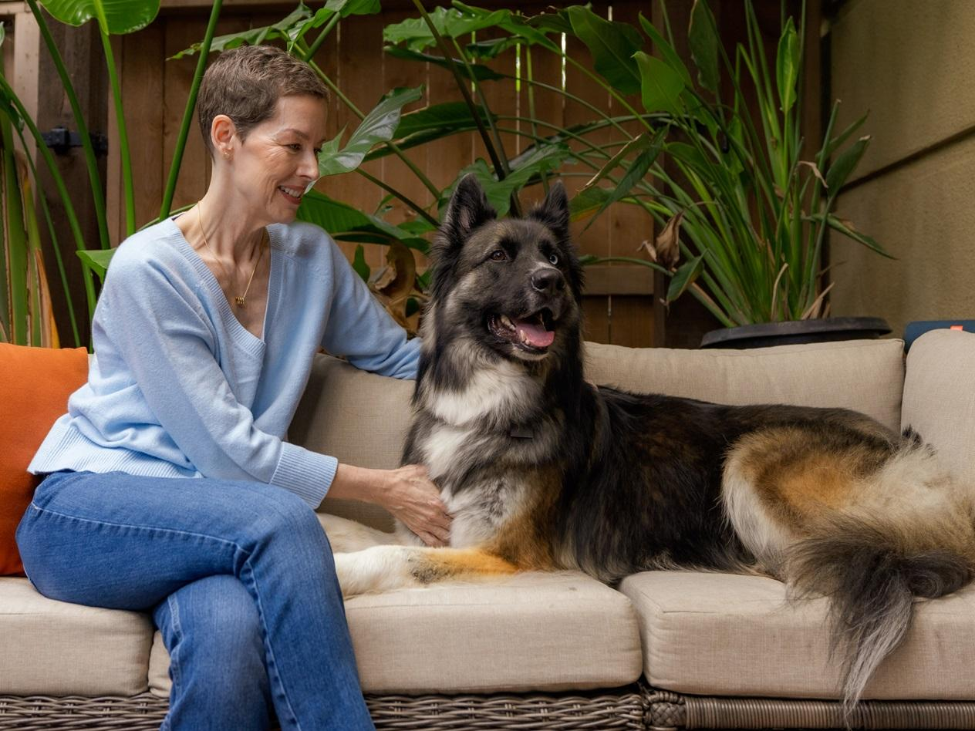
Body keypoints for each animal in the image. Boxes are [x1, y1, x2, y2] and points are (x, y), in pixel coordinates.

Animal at [330, 176, 975, 708]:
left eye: (553, 258)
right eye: (498, 256)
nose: (550, 282)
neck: (491, 403)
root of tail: (910, 449)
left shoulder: (500, 553)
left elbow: (391, 558)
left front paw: (338, 576)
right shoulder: (424, 525)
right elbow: (353, 532)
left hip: (754, 458)